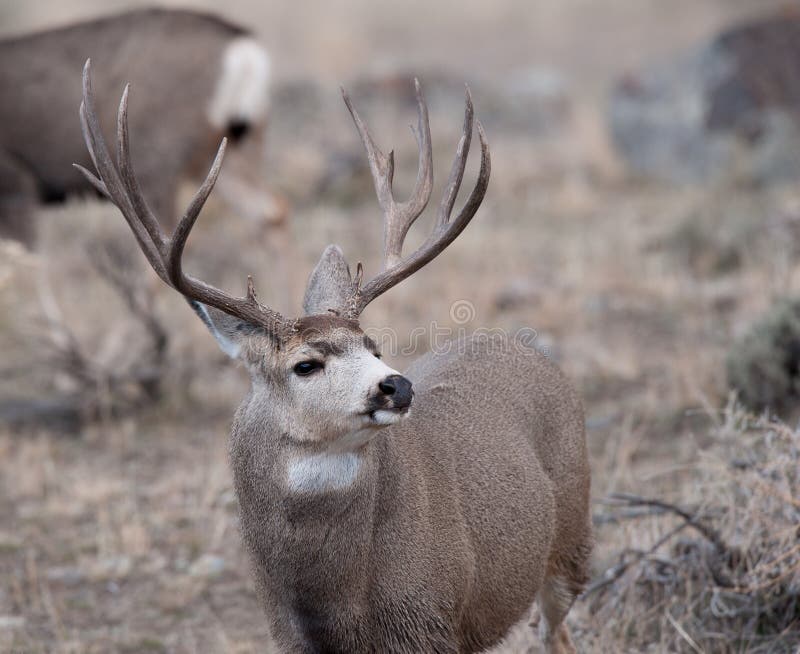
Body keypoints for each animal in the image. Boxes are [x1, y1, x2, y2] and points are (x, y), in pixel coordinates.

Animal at [75, 58, 592, 654]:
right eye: (306, 364)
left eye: (374, 346)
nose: (397, 385)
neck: (332, 605)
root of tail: (522, 345)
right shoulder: (289, 636)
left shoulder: (430, 623)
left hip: (573, 537)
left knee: (558, 630)